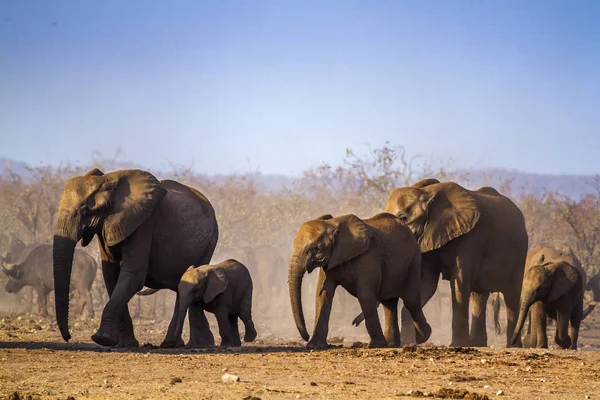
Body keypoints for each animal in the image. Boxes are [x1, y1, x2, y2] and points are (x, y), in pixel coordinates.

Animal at [52, 169, 218, 346]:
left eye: (86, 211)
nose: (68, 337)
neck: (108, 180)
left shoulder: (144, 224)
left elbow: (133, 275)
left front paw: (101, 339)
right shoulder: (106, 227)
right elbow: (111, 275)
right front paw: (125, 343)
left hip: (209, 242)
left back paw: (186, 344)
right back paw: (184, 343)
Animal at [290, 214, 432, 348]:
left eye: (315, 249)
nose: (306, 337)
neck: (332, 223)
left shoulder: (368, 257)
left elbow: (365, 296)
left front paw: (375, 346)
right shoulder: (329, 262)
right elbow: (323, 294)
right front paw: (314, 346)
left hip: (414, 260)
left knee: (410, 300)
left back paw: (423, 337)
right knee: (389, 303)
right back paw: (392, 344)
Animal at [376, 179, 528, 346]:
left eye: (403, 218)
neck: (428, 194)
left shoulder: (472, 235)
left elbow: (459, 281)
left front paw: (457, 345)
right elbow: (426, 284)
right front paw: (408, 343)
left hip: (520, 255)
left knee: (511, 297)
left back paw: (512, 346)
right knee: (479, 296)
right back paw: (478, 344)